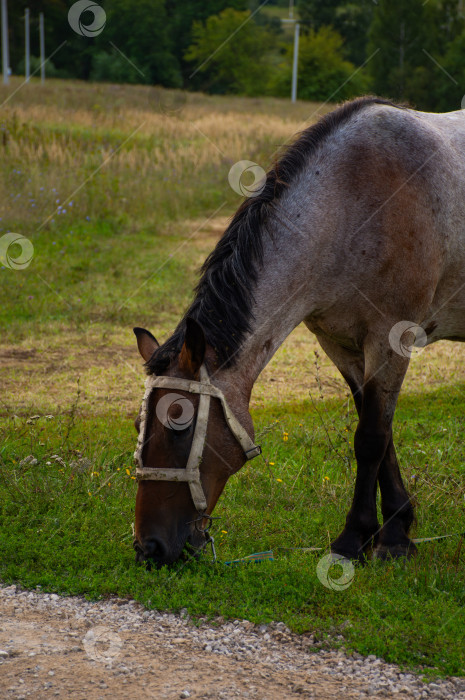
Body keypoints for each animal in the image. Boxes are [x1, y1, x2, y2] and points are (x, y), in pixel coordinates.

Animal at [130, 95, 464, 568]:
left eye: (179, 423)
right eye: (137, 424)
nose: (149, 548)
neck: (354, 202)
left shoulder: (390, 338)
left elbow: (371, 438)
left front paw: (359, 539)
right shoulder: (341, 345)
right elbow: (378, 433)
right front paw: (395, 530)